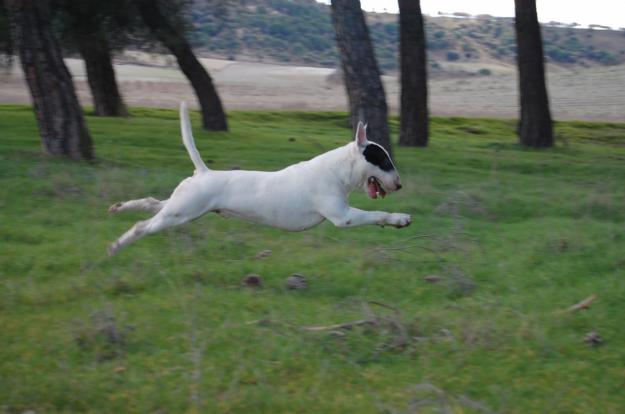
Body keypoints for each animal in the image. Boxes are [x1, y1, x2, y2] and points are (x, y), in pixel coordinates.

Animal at [107, 102, 410, 254]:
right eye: (384, 161)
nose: (399, 184)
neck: (337, 170)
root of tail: (203, 172)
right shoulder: (343, 216)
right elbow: (376, 214)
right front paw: (400, 219)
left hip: (181, 206)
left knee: (152, 202)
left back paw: (120, 207)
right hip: (180, 213)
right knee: (143, 226)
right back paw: (116, 245)